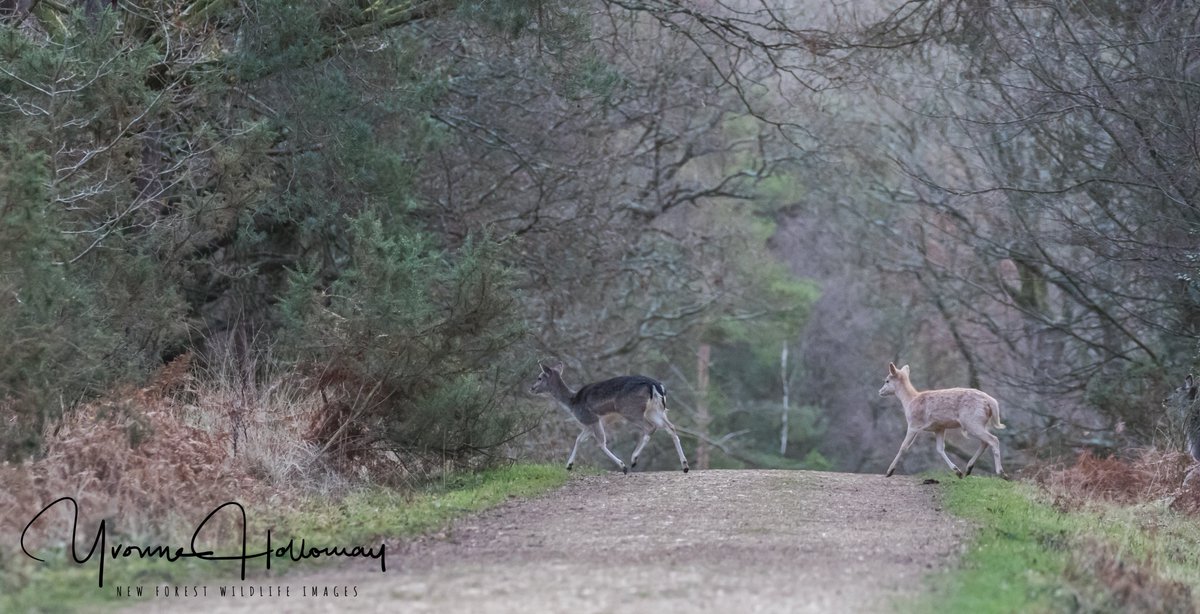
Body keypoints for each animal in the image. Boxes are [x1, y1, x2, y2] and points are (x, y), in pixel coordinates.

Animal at [529, 360, 689, 474]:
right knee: (671, 427)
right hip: (656, 410)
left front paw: (623, 466)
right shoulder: (590, 423)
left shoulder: (590, 418)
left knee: (650, 427)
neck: (572, 403)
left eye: (539, 377)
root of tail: (655, 385)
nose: (531, 388)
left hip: (631, 410)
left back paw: (633, 459)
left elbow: (600, 443)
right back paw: (685, 466)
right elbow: (579, 439)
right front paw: (569, 466)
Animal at [878, 362, 1006, 479]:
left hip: (972, 421)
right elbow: (940, 448)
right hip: (980, 423)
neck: (909, 401)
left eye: (887, 380)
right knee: (985, 442)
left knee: (993, 440)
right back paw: (968, 469)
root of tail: (991, 402)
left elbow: (903, 447)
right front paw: (957, 472)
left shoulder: (914, 424)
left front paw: (889, 471)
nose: (880, 391)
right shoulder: (939, 427)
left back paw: (1001, 473)